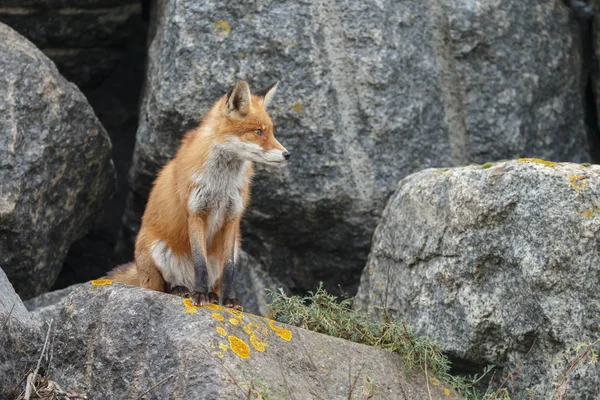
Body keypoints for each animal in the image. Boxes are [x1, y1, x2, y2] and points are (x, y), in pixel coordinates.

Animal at [109, 80, 290, 310]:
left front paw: (229, 300)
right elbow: (199, 262)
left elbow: (229, 269)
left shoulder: (233, 217)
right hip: (154, 251)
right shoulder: (196, 211)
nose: (287, 154)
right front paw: (199, 294)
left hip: (234, 247)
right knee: (161, 287)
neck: (221, 184)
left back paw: (211, 295)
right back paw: (182, 290)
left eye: (272, 132)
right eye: (258, 131)